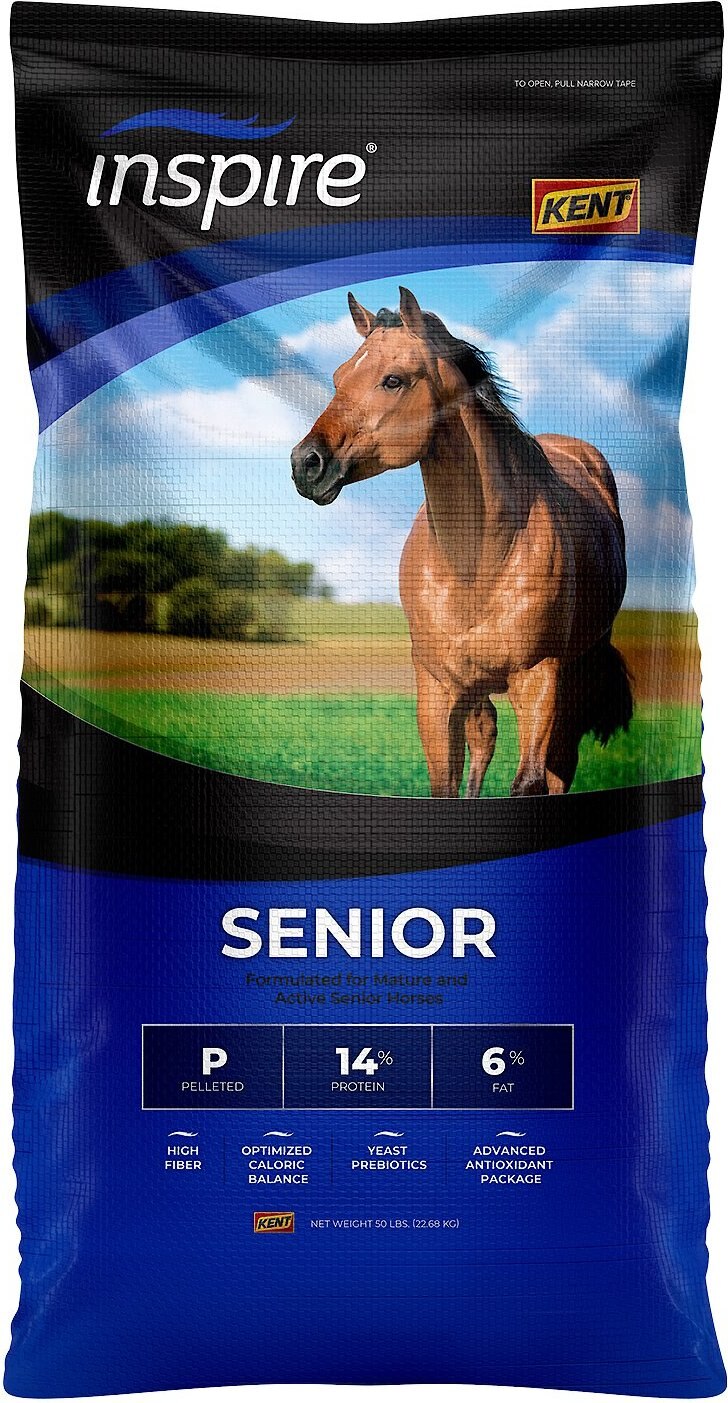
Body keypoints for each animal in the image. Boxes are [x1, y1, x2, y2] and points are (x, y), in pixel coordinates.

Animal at [291, 286, 632, 798]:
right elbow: (447, 780)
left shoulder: (538, 679)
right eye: (339, 378)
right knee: (484, 737)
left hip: (577, 672)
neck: (477, 561)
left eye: (393, 380)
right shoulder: (438, 687)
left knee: (560, 761)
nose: (306, 463)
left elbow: (529, 779)